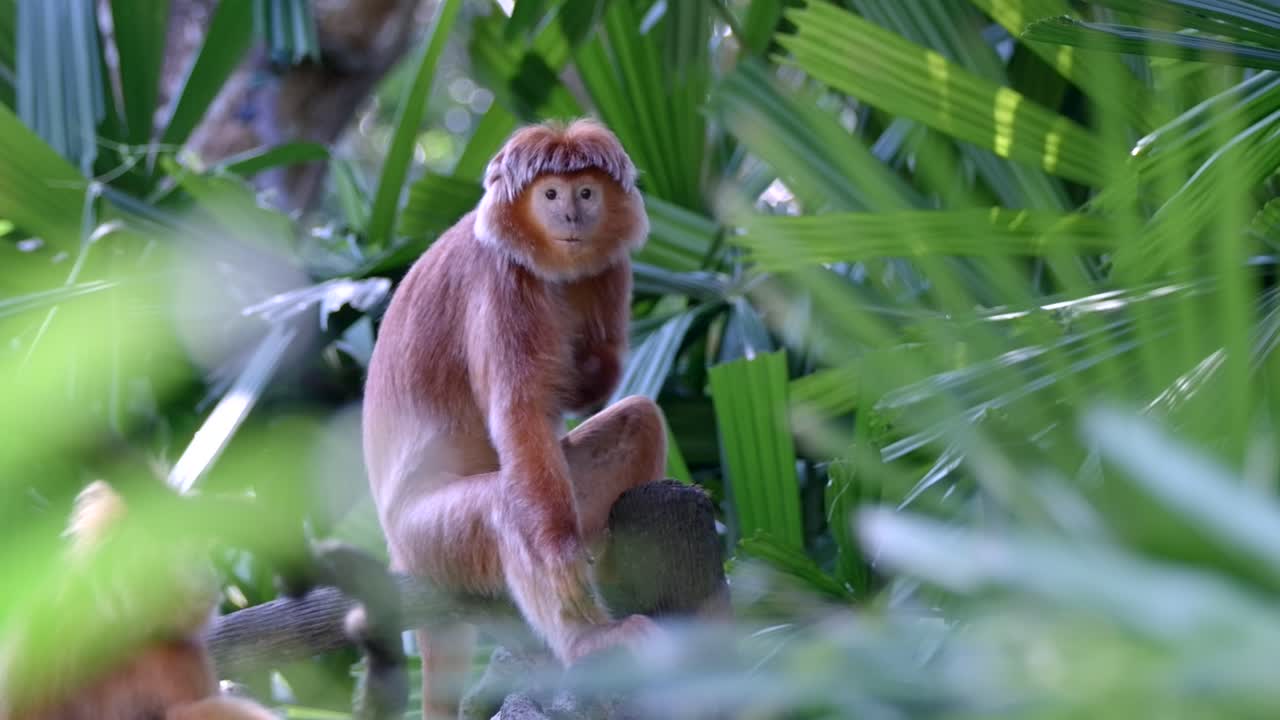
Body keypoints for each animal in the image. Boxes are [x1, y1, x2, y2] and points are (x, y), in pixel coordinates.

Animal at [362, 118, 669, 717]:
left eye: (585, 192)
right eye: (550, 195)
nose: (570, 217)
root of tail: (395, 552)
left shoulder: (609, 271)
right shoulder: (503, 284)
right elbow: (521, 416)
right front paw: (566, 575)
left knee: (641, 420)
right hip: (429, 543)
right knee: (509, 504)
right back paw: (588, 640)